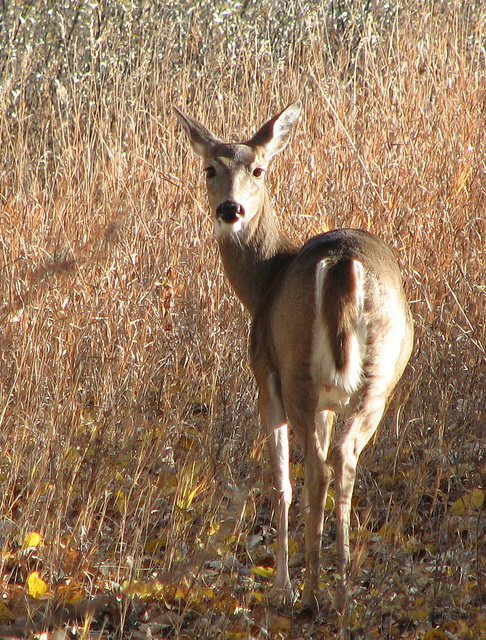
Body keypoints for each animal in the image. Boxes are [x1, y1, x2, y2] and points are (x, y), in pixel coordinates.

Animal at [173, 102, 412, 612]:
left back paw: (311, 591)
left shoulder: (265, 373)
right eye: (209, 169)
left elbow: (280, 481)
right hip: (378, 375)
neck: (264, 281)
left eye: (258, 169)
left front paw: (281, 583)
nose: (230, 209)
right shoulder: (327, 403)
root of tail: (342, 262)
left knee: (316, 469)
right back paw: (341, 586)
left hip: (296, 363)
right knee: (343, 458)